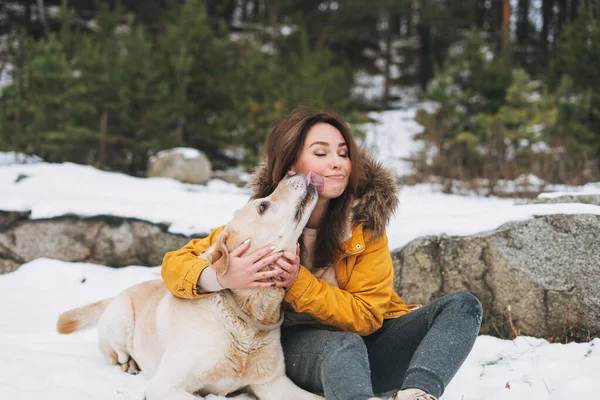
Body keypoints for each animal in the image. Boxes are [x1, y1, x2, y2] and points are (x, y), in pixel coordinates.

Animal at [57, 173, 324, 400]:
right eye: (263, 206)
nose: (293, 173)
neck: (247, 313)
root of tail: (117, 295)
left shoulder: (274, 383)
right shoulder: (164, 386)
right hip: (121, 319)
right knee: (117, 355)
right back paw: (130, 365)